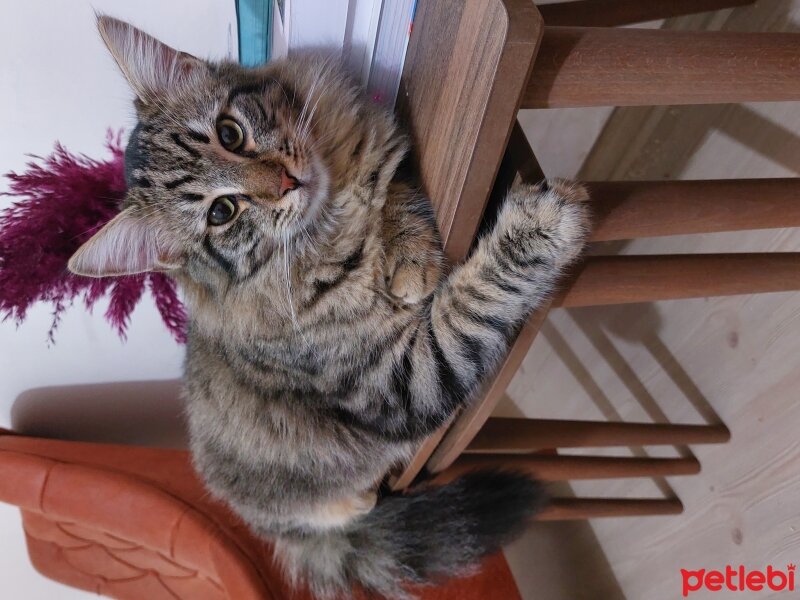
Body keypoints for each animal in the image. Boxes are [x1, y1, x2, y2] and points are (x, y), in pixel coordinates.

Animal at [69, 16, 592, 596]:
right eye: (222, 213)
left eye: (229, 134)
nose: (285, 182)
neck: (329, 219)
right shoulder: (400, 382)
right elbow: (473, 305)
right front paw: (540, 224)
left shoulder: (379, 157)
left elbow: (394, 189)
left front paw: (410, 255)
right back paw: (360, 500)